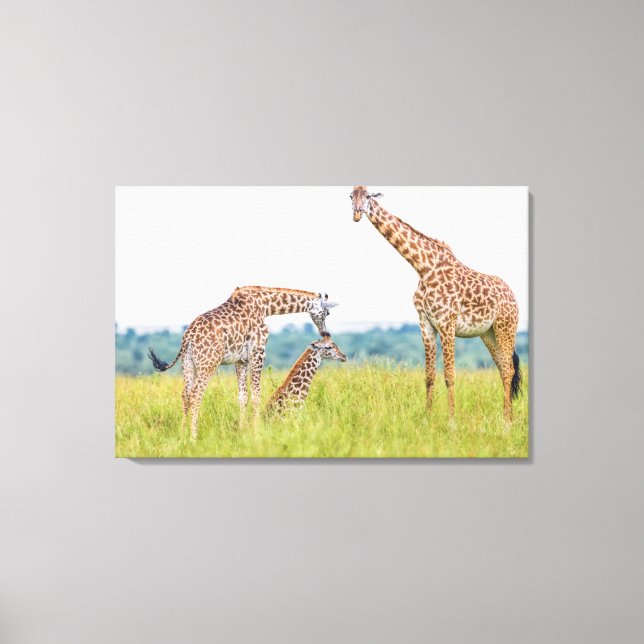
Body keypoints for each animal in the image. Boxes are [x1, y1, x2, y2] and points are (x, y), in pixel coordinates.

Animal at [148, 286, 338, 438]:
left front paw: (242, 429)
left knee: (185, 395)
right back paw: (193, 437)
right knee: (196, 395)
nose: (325, 332)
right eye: (327, 313)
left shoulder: (241, 360)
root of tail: (188, 337)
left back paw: (182, 434)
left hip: (188, 363)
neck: (265, 306)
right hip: (208, 363)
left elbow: (242, 396)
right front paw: (257, 429)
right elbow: (256, 395)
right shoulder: (258, 352)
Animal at [350, 186, 522, 422]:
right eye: (351, 197)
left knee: (509, 370)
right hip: (488, 333)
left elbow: (449, 375)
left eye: (368, 196)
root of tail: (513, 296)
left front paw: (451, 421)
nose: (357, 214)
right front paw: (427, 418)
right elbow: (429, 376)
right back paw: (507, 418)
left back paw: (507, 422)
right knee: (503, 368)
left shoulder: (447, 323)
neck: (423, 267)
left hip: (506, 327)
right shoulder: (425, 323)